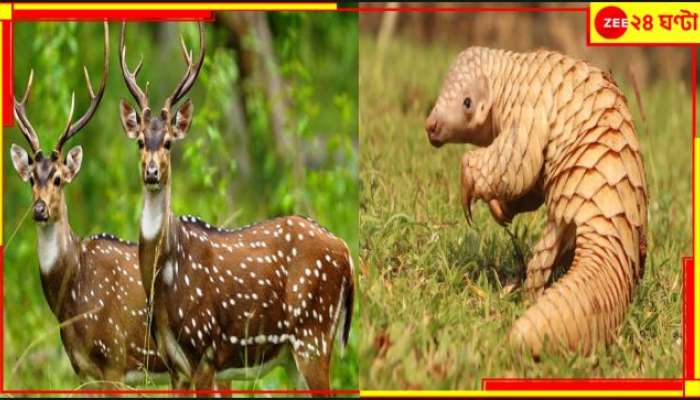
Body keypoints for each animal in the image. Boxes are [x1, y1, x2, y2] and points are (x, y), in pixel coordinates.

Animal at [117, 21, 356, 390]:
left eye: (169, 142)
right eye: (141, 141)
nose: (152, 173)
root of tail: (346, 253)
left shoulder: (204, 350)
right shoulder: (174, 366)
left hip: (312, 334)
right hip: (293, 354)